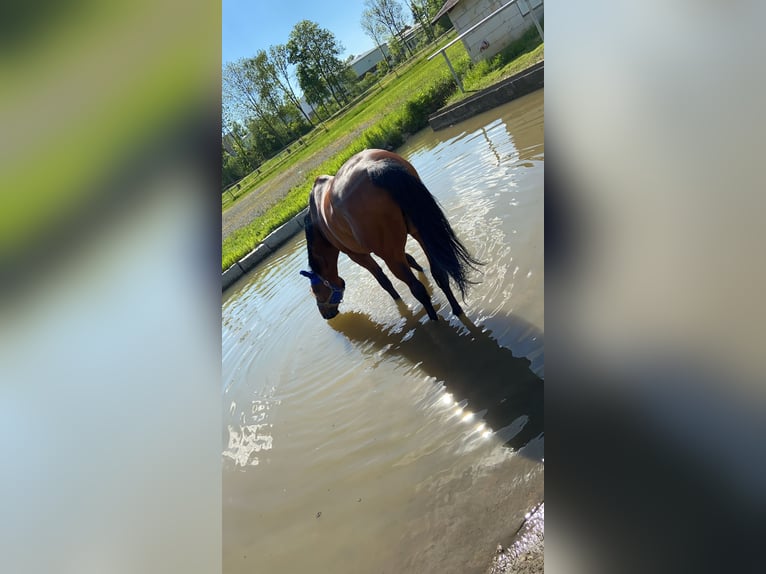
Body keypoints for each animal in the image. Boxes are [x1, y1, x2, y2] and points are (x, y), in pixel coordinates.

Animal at [300, 148, 480, 322]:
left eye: (315, 291)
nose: (326, 314)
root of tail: (374, 167)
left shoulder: (357, 255)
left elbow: (383, 281)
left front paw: (397, 299)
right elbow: (410, 258)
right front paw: (419, 268)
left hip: (389, 256)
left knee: (417, 288)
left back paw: (434, 320)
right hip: (419, 235)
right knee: (439, 274)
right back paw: (456, 309)